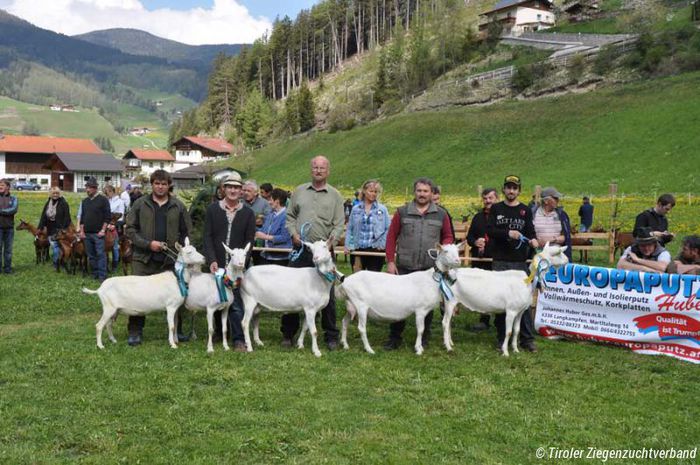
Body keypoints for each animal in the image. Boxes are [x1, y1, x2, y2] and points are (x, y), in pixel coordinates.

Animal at [334, 241, 462, 354]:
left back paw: (345, 345)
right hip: (361, 305)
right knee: (361, 328)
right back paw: (369, 349)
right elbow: (421, 330)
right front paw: (418, 349)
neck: (432, 279)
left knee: (344, 322)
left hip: (352, 305)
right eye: (445, 251)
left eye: (457, 251)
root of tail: (346, 282)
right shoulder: (420, 310)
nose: (458, 261)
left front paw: (420, 347)